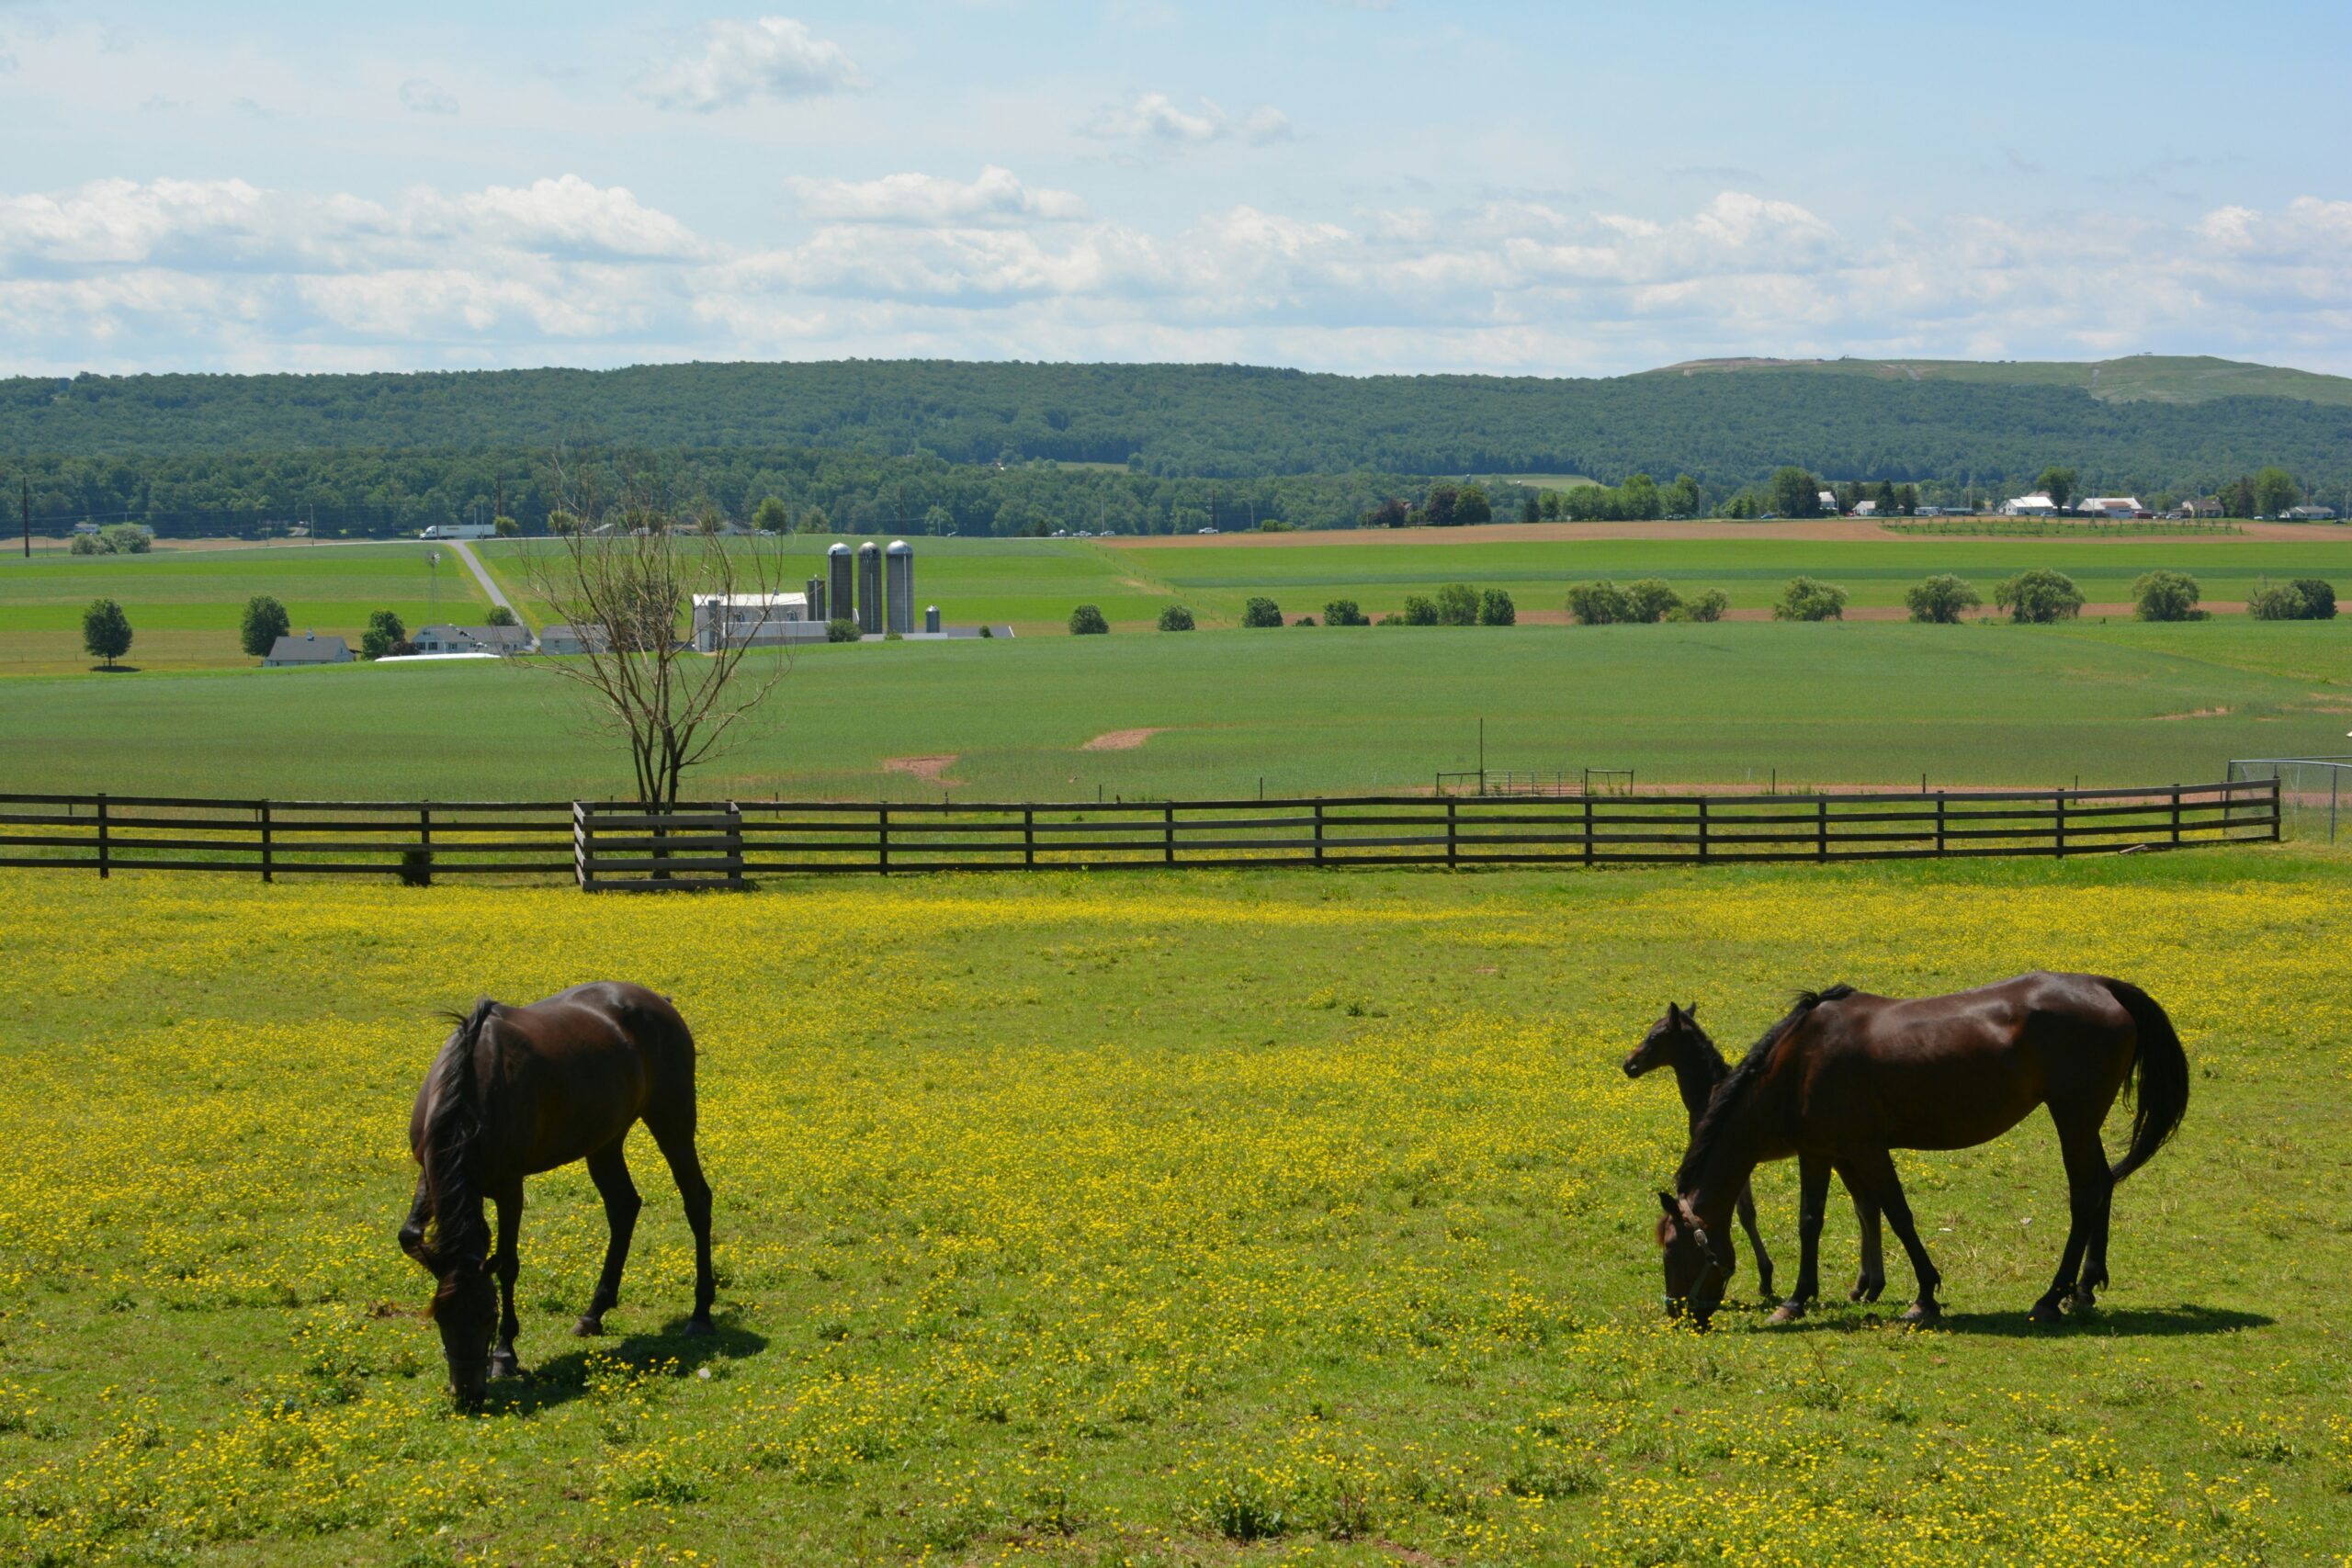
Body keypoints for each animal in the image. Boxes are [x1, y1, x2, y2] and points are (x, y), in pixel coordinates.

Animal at [397, 983, 716, 1407]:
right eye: (440, 1316)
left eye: (489, 1316)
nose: (469, 1396)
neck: (468, 1093)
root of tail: (659, 1002)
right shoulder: (429, 1172)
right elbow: (410, 1235)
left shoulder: (509, 1186)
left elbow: (508, 1263)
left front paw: (505, 1354)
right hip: (605, 1140)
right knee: (623, 1207)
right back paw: (594, 1312)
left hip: (673, 1119)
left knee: (697, 1201)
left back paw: (701, 1314)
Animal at [1624, 1002, 1888, 1306]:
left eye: (1654, 1036)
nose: (1629, 1064)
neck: (1709, 1093)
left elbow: (1746, 1214)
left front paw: (1766, 1278)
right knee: (1866, 1207)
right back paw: (1865, 1285)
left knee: (1866, 1207)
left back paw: (1869, 1284)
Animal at [1654, 973, 2187, 1330]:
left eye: (1672, 1250)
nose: (1680, 1316)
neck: (1800, 1063)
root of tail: (2102, 986)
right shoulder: (1821, 1151)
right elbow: (1822, 1221)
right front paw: (1803, 1298)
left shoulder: (1863, 1149)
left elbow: (1893, 1214)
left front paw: (1923, 1295)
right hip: (2082, 1123)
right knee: (2102, 1185)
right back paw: (2084, 1288)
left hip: (2073, 1119)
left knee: (2084, 1195)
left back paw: (2050, 1298)